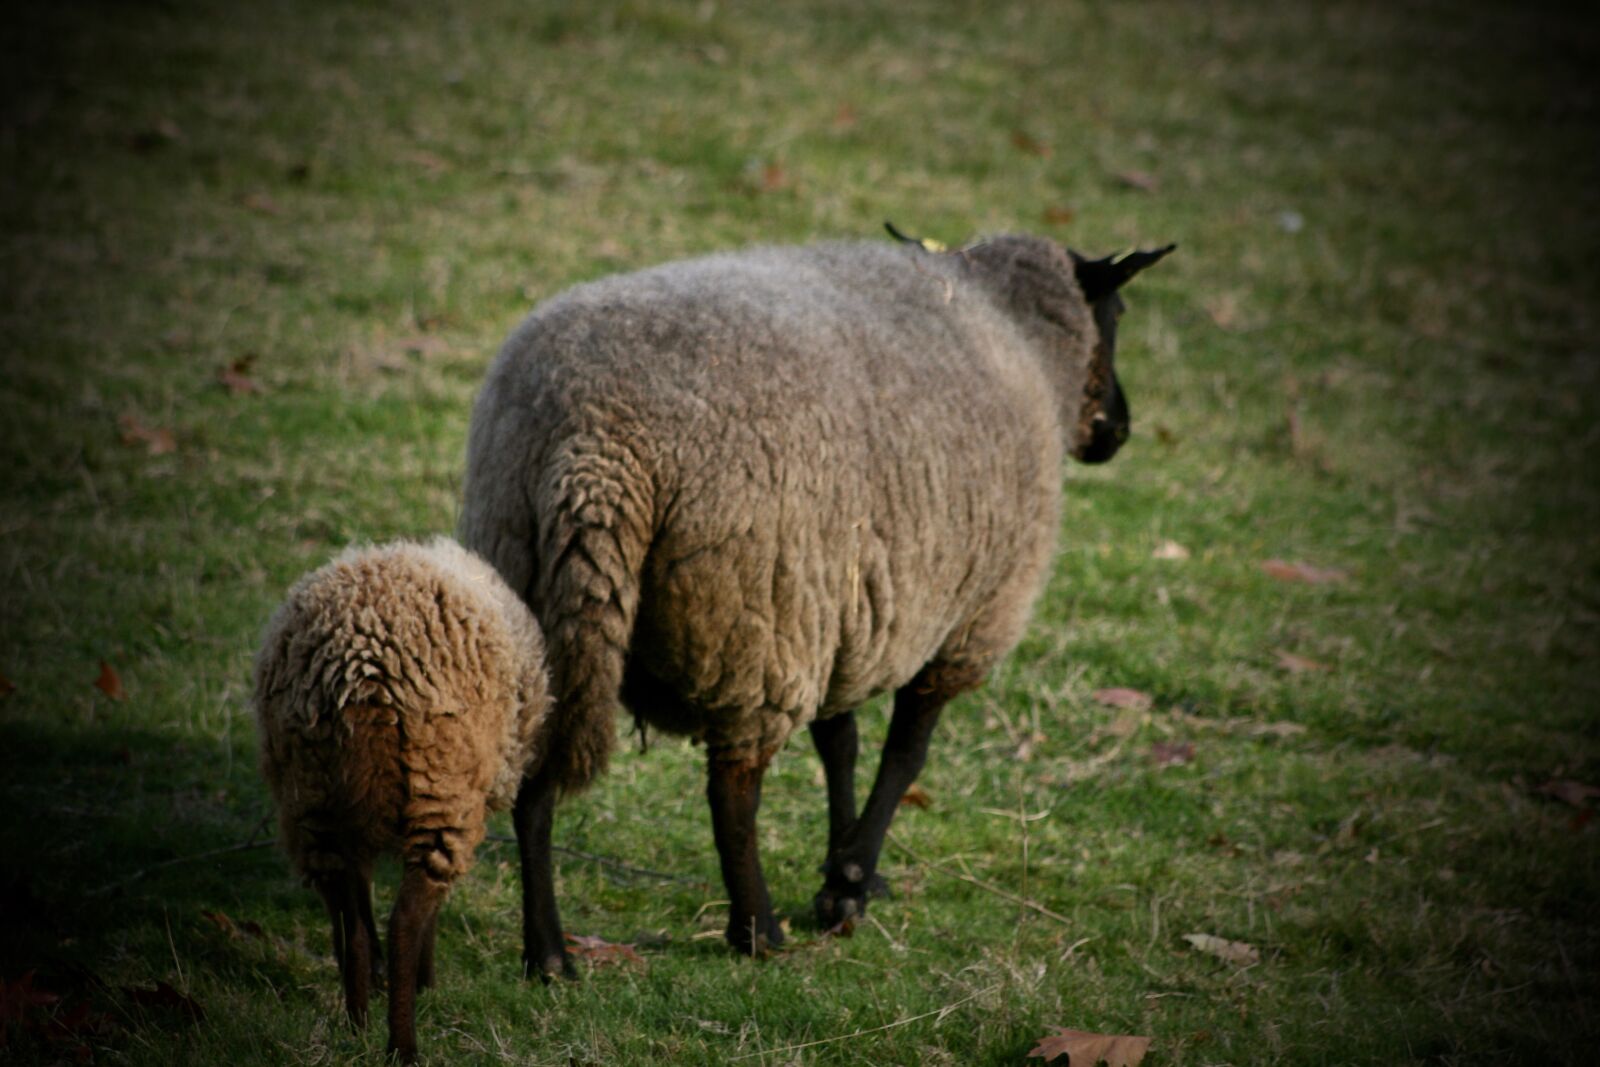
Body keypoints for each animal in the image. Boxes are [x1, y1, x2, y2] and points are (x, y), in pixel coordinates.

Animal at [253, 536, 549, 1062]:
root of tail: (359, 671)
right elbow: (428, 911)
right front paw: (426, 983)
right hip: (441, 786)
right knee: (406, 918)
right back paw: (402, 1045)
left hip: (312, 795)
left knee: (349, 915)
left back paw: (356, 1023)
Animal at [458, 227, 1173, 973]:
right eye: (1118, 312)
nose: (1120, 430)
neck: (1016, 329)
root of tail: (593, 441)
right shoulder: (967, 619)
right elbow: (905, 753)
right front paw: (851, 880)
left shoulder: (847, 612)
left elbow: (841, 742)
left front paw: (845, 870)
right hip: (756, 617)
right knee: (733, 789)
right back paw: (756, 930)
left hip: (540, 587)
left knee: (537, 782)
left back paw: (547, 953)